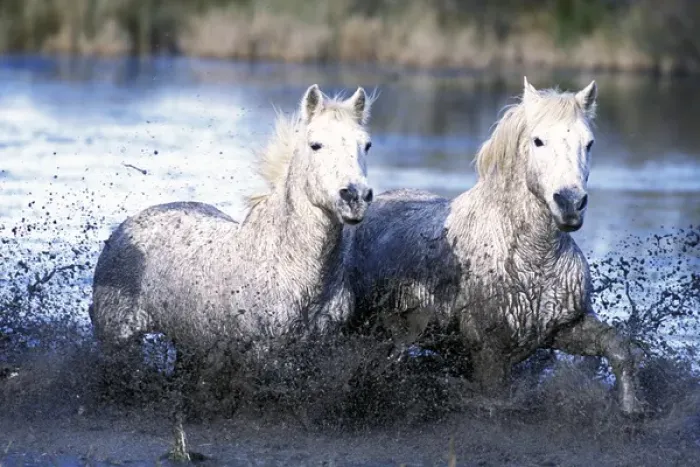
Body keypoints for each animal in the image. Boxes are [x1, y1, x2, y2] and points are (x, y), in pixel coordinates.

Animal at [89, 84, 375, 459]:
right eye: (316, 144)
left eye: (366, 144)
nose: (355, 196)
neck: (291, 268)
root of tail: (126, 227)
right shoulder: (262, 353)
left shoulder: (318, 349)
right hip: (118, 341)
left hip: (188, 343)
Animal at [344, 77, 643, 415]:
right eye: (538, 141)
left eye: (589, 143)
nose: (570, 203)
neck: (532, 260)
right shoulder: (489, 352)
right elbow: (496, 401)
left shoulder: (564, 327)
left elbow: (619, 349)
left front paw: (631, 409)